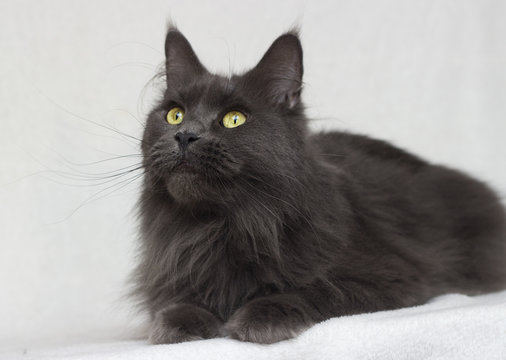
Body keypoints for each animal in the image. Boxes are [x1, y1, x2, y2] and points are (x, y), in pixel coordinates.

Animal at [132, 26, 506, 344]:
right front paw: (179, 322)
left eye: (234, 119)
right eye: (174, 115)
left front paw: (259, 316)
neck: (223, 226)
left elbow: (315, 289)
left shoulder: (395, 276)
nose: (185, 135)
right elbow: (178, 303)